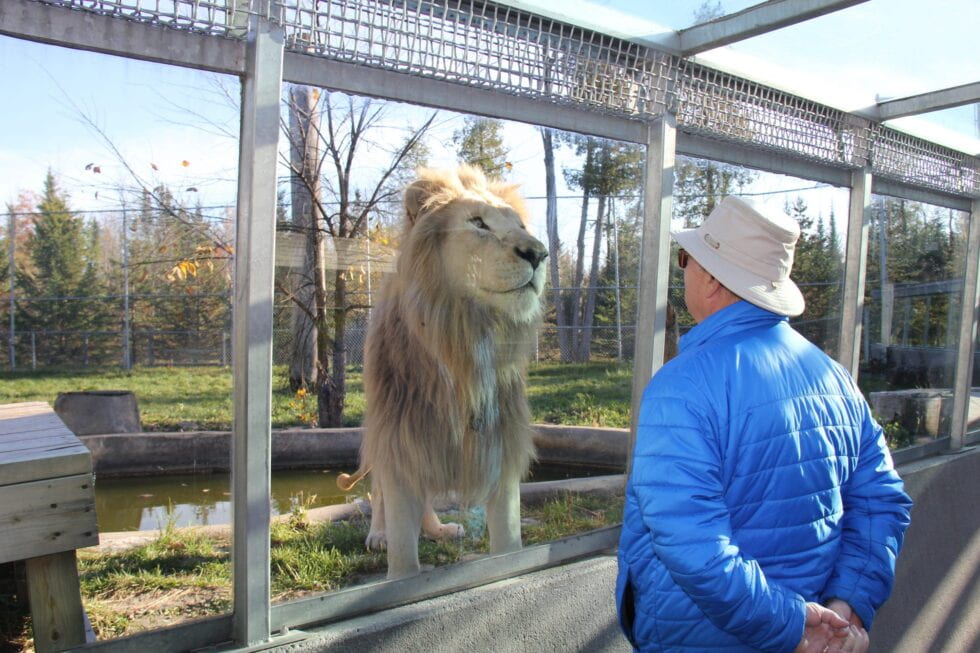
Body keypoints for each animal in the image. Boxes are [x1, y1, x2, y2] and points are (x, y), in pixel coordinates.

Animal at [339, 165, 547, 579]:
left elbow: (509, 543)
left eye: (520, 225)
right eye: (478, 223)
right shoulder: (400, 438)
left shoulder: (500, 449)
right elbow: (403, 554)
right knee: (378, 490)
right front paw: (398, 566)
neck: (466, 338)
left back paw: (440, 530)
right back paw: (379, 534)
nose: (538, 253)